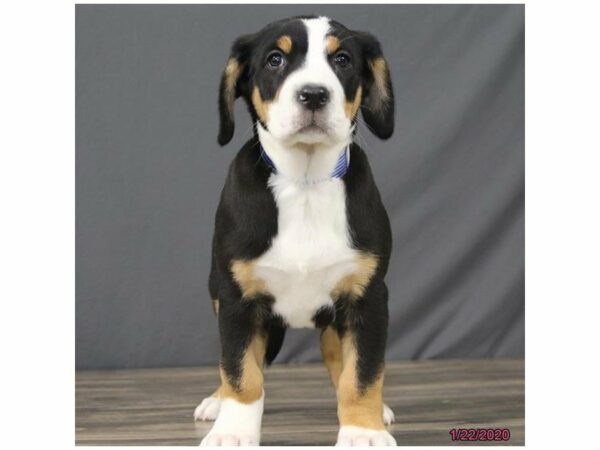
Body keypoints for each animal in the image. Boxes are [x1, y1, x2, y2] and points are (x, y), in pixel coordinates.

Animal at [195, 14, 396, 446]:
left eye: (342, 59)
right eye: (275, 59)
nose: (314, 95)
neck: (305, 182)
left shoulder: (368, 297)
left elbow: (363, 372)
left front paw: (362, 430)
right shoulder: (237, 299)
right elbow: (240, 371)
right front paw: (233, 432)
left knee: (339, 358)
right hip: (216, 290)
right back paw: (216, 402)